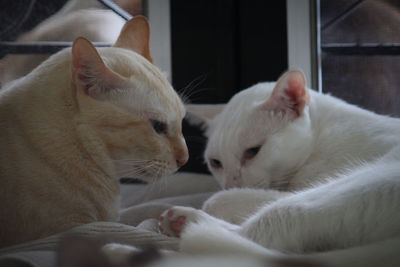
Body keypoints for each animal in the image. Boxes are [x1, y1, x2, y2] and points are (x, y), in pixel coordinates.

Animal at [0, 17, 189, 249]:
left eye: (181, 120)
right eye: (158, 126)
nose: (185, 159)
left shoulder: (111, 218)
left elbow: (148, 211)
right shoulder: (74, 229)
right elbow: (140, 234)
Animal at [158, 70, 400, 266]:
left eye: (253, 151)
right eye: (216, 162)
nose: (231, 185)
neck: (320, 138)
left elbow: (218, 201)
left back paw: (185, 220)